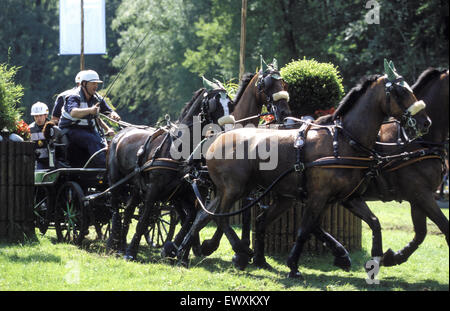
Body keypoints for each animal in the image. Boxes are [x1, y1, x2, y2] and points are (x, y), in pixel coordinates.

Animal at [177, 64, 432, 278]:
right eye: (399, 92)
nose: (425, 122)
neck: (343, 140)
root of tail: (218, 137)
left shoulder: (347, 198)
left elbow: (374, 221)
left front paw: (377, 258)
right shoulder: (318, 196)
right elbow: (304, 229)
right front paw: (293, 265)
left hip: (250, 192)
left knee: (207, 215)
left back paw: (186, 252)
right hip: (234, 189)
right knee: (219, 216)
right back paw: (237, 251)